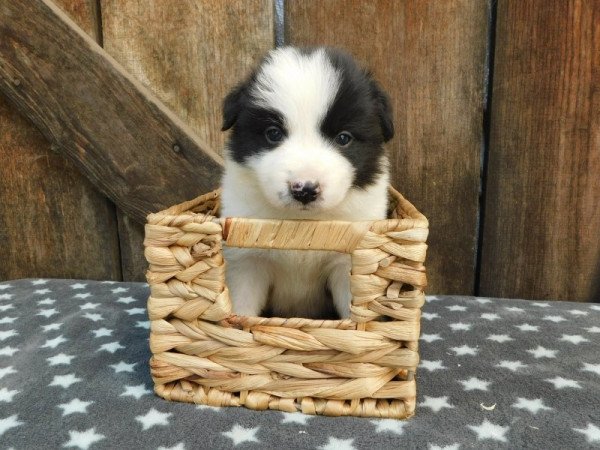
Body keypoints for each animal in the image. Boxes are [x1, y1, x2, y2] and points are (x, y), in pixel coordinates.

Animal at [220, 46, 394, 320]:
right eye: (273, 134)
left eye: (343, 138)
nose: (305, 190)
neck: (303, 223)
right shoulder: (247, 259)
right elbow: (242, 306)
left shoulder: (348, 260)